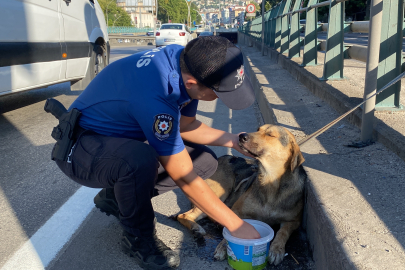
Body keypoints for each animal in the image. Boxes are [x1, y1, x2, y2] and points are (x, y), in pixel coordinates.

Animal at [174, 124, 306, 266]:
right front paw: (223, 247)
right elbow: (233, 228)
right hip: (214, 195)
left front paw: (276, 250)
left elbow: (282, 233)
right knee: (184, 215)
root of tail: (222, 157)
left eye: (270, 135)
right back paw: (196, 228)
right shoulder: (236, 210)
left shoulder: (293, 221)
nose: (242, 136)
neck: (270, 181)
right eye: (258, 129)